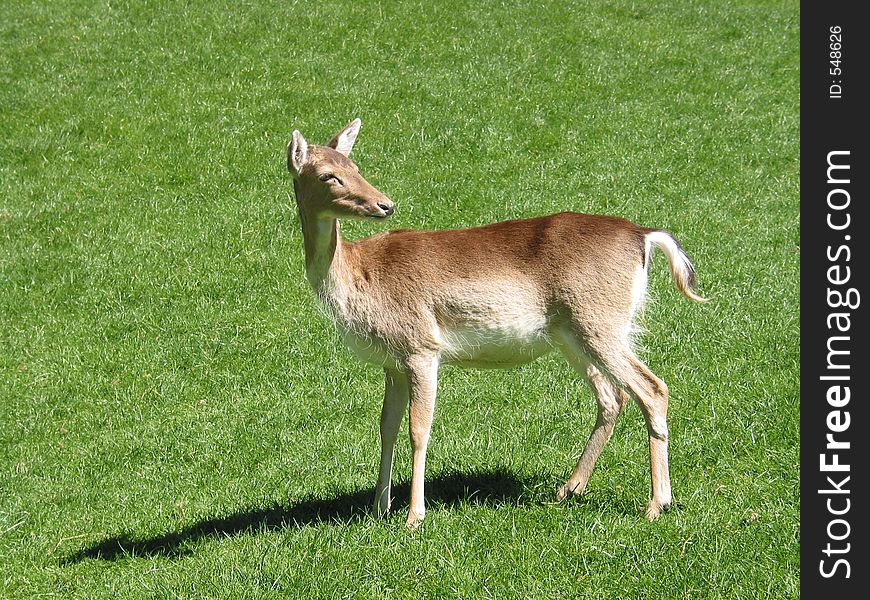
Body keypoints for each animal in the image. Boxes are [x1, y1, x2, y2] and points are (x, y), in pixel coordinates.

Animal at [286, 118, 708, 528]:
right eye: (329, 174)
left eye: (355, 167)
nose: (385, 204)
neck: (358, 278)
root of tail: (645, 237)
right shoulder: (391, 362)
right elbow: (386, 426)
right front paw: (378, 508)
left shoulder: (421, 346)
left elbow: (418, 429)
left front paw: (413, 517)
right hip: (572, 334)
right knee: (612, 396)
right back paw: (569, 489)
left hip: (601, 323)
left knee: (652, 389)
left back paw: (656, 504)